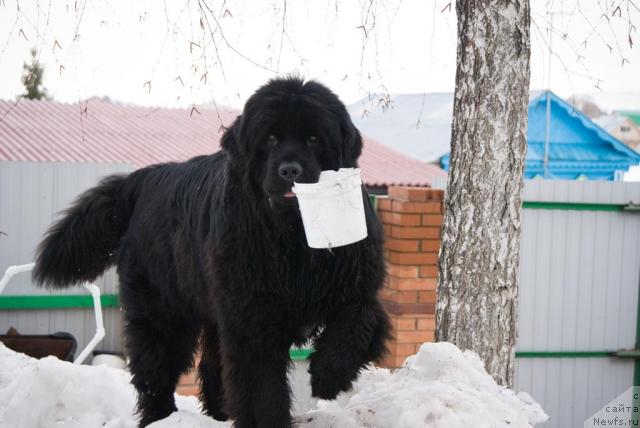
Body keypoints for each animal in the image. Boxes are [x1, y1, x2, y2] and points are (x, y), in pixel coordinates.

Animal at [33, 77, 390, 428]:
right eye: (271, 138)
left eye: (315, 138)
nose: (290, 170)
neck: (294, 240)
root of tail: (145, 177)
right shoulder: (251, 320)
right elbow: (262, 386)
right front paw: (270, 419)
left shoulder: (355, 285)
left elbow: (359, 321)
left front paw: (329, 375)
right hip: (164, 309)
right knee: (155, 368)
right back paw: (159, 417)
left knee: (210, 366)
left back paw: (220, 413)